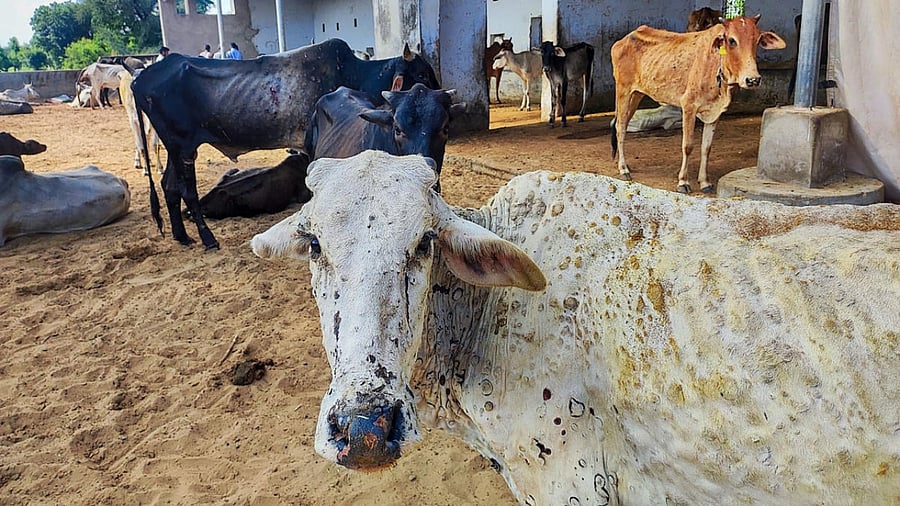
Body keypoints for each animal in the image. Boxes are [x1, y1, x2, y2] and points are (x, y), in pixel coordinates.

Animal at [130, 37, 441, 250]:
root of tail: (140, 78)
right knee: (187, 190)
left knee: (168, 186)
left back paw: (182, 236)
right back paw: (207, 239)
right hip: (183, 147)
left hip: (176, 148)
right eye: (422, 74)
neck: (354, 72)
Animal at [611, 15, 786, 193]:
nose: (753, 79)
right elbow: (688, 146)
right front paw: (683, 182)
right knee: (620, 128)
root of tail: (624, 39)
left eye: (757, 40)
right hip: (623, 91)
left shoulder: (714, 113)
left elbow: (706, 148)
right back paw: (623, 169)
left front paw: (705, 182)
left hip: (636, 94)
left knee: (623, 125)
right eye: (731, 40)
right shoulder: (689, 106)